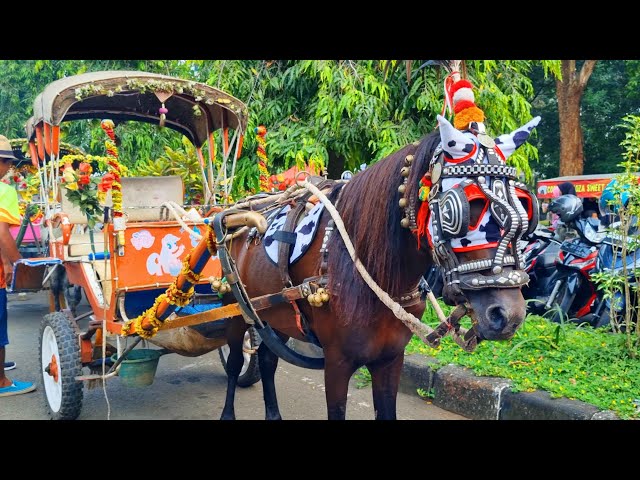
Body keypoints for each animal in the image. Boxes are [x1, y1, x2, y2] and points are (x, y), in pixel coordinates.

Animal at [216, 113, 540, 420]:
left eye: (525, 206)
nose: (508, 315)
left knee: (267, 360)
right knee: (234, 362)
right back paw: (228, 410)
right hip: (234, 309)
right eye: (461, 209)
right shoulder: (337, 361)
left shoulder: (390, 359)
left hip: (275, 315)